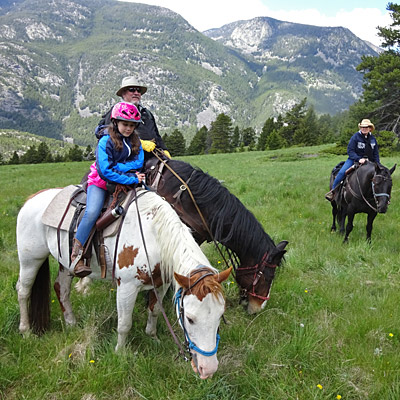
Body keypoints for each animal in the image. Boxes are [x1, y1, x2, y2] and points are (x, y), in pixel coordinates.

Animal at [16, 189, 231, 380]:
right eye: (190, 318)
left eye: (220, 316)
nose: (208, 369)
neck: (152, 234)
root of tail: (30, 199)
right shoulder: (127, 287)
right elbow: (124, 324)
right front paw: (120, 352)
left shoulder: (161, 284)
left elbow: (154, 311)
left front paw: (152, 337)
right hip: (30, 260)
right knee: (23, 291)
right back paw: (26, 331)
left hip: (66, 263)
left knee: (61, 289)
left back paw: (71, 323)